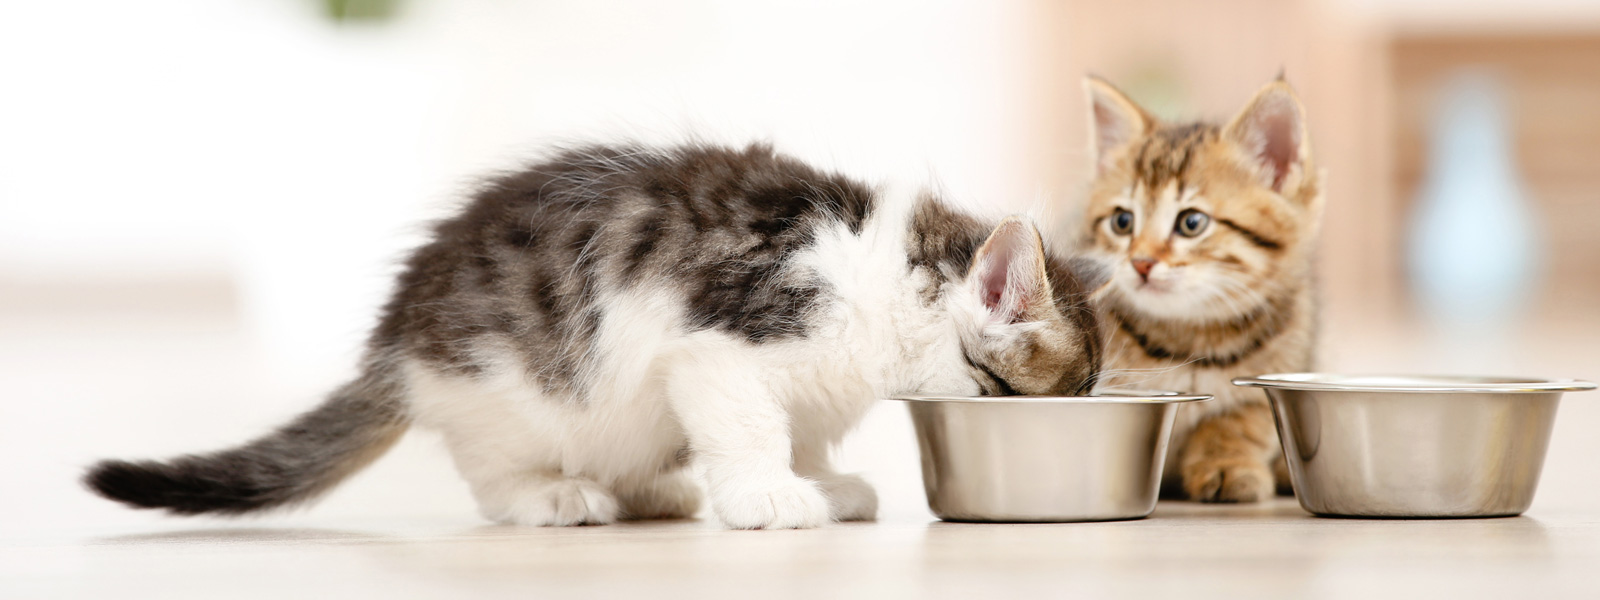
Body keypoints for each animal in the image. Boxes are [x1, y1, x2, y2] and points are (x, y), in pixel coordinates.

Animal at [90, 144, 1113, 531]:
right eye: (1051, 399)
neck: (894, 276)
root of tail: (397, 342)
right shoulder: (718, 347)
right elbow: (754, 424)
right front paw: (771, 495)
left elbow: (808, 428)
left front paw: (821, 479)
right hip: (507, 392)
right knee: (493, 474)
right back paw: (555, 496)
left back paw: (655, 487)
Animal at [1075, 77, 1324, 505]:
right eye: (1122, 222)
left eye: (1192, 223)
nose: (1140, 262)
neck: (1187, 337)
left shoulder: (1284, 356)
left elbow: (1239, 421)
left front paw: (1228, 466)